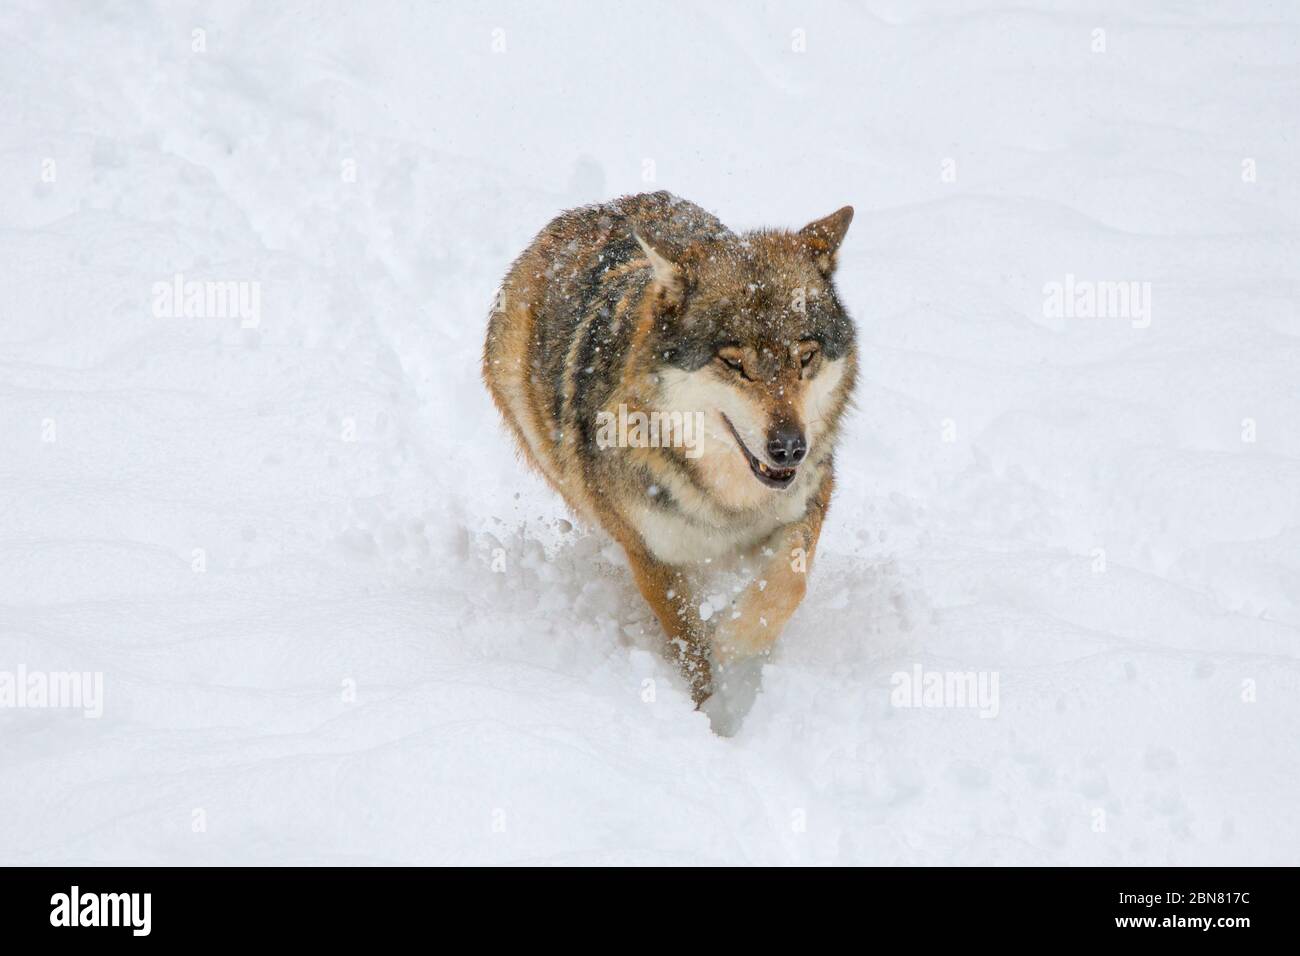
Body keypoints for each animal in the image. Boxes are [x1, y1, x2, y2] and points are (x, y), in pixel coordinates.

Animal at [483, 191, 857, 707]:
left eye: (805, 356)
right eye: (734, 363)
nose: (789, 449)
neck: (728, 503)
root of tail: (594, 208)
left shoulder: (807, 504)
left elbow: (787, 585)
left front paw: (735, 641)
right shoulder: (653, 556)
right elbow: (690, 647)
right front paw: (712, 707)